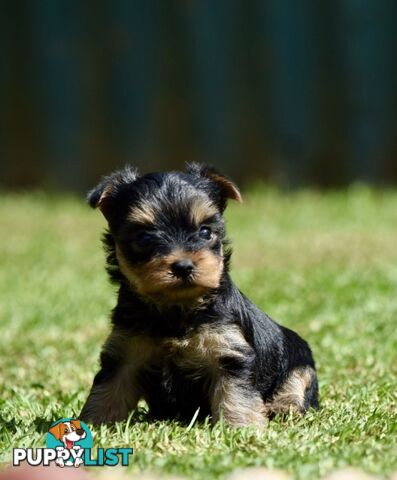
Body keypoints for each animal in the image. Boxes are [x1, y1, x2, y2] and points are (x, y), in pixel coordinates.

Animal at [80, 163, 318, 426]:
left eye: (205, 232)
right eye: (144, 237)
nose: (183, 266)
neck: (176, 307)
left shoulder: (229, 352)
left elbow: (236, 394)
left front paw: (241, 427)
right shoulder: (124, 353)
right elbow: (108, 391)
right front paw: (94, 423)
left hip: (301, 361)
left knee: (297, 385)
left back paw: (284, 407)